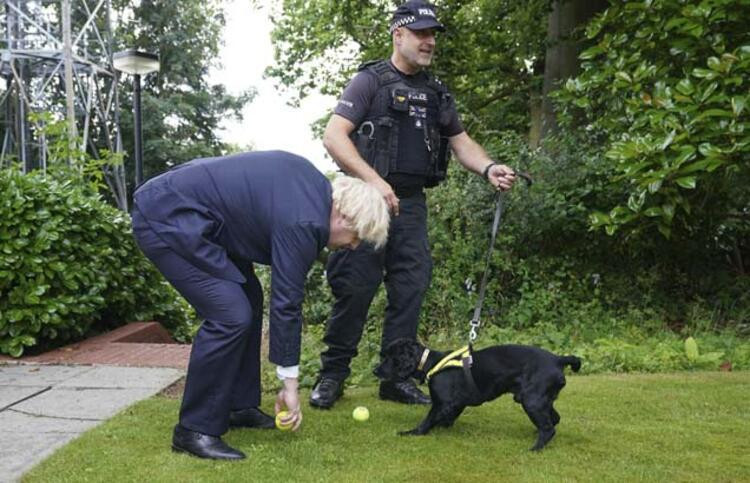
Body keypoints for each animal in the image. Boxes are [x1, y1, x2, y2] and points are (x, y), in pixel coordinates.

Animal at [376, 338, 580, 452]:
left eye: (389, 358)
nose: (374, 370)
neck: (430, 363)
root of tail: (558, 359)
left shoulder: (442, 402)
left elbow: (427, 421)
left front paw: (412, 432)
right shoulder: (456, 403)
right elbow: (447, 417)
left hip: (532, 400)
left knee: (548, 427)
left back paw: (535, 449)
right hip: (541, 399)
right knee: (554, 419)